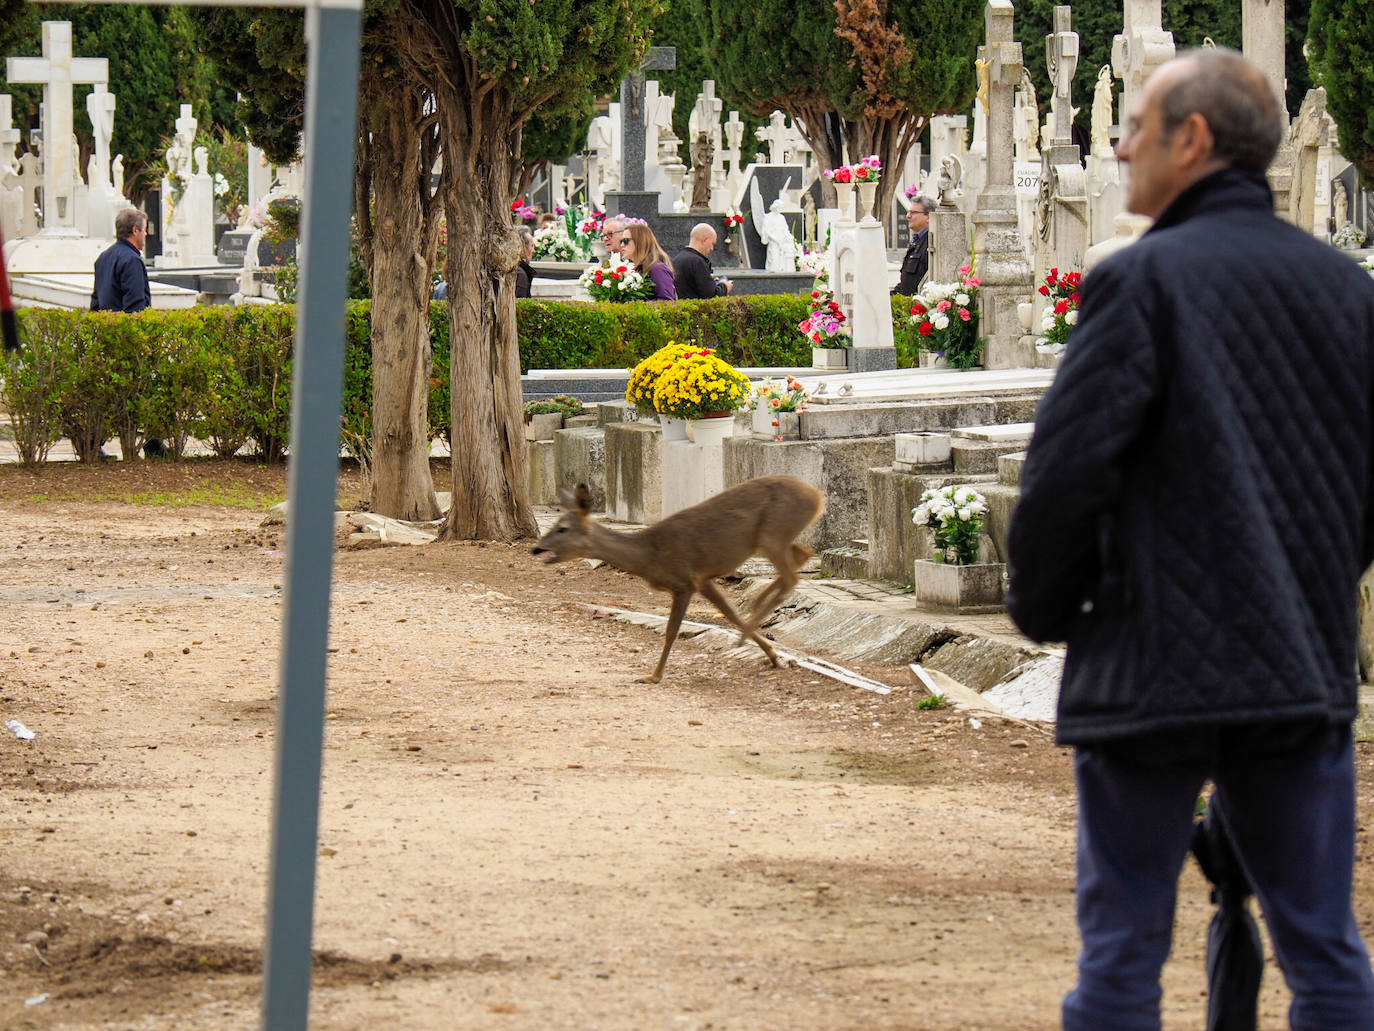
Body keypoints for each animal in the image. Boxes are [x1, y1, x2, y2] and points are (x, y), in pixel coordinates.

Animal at [530, 475, 818, 687]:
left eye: (563, 529)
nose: (536, 548)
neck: (648, 555)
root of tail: (818, 497)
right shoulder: (702, 580)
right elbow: (730, 613)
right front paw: (772, 655)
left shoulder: (683, 581)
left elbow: (671, 632)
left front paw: (653, 676)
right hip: (773, 538)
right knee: (803, 554)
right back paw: (756, 612)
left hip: (773, 533)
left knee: (793, 572)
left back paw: (752, 619)